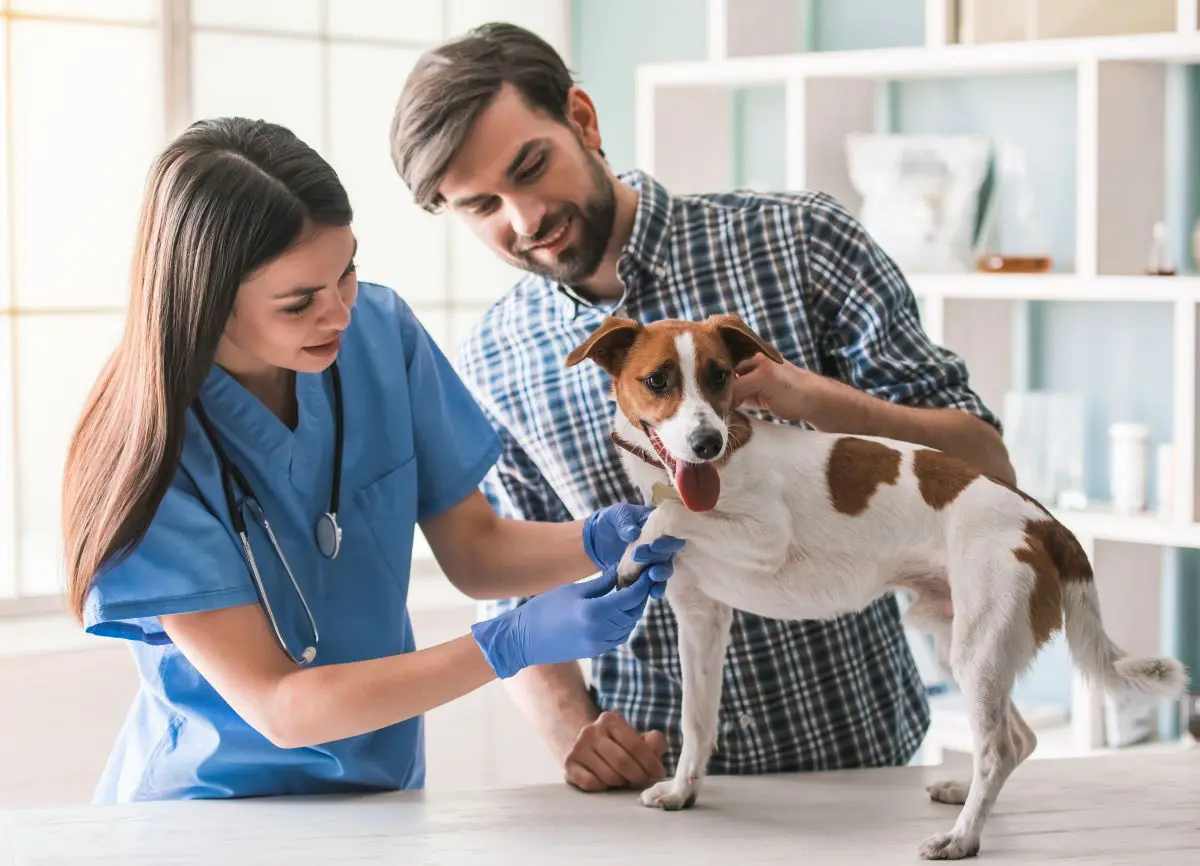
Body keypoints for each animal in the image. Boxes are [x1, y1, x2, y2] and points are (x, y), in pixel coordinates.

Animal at [566, 309, 1185, 858]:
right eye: (657, 381)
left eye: (721, 375)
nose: (706, 443)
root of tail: (1046, 522)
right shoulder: (702, 620)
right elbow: (696, 721)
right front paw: (683, 790)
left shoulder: (765, 535)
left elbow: (667, 515)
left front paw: (630, 551)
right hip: (957, 640)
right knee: (1019, 741)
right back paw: (963, 797)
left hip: (979, 649)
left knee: (998, 749)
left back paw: (963, 837)